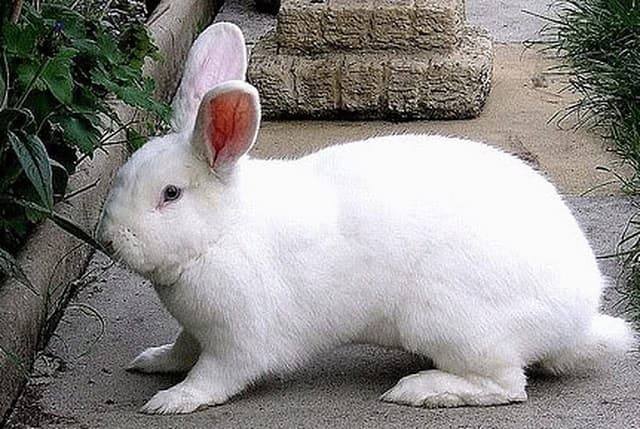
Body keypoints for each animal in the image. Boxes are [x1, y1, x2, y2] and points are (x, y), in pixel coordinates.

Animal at [98, 22, 636, 415]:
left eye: (170, 195)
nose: (109, 239)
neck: (222, 232)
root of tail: (577, 319)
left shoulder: (238, 339)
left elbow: (213, 375)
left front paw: (170, 402)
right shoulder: (197, 330)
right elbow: (182, 349)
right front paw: (152, 362)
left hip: (451, 321)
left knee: (506, 384)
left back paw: (420, 389)